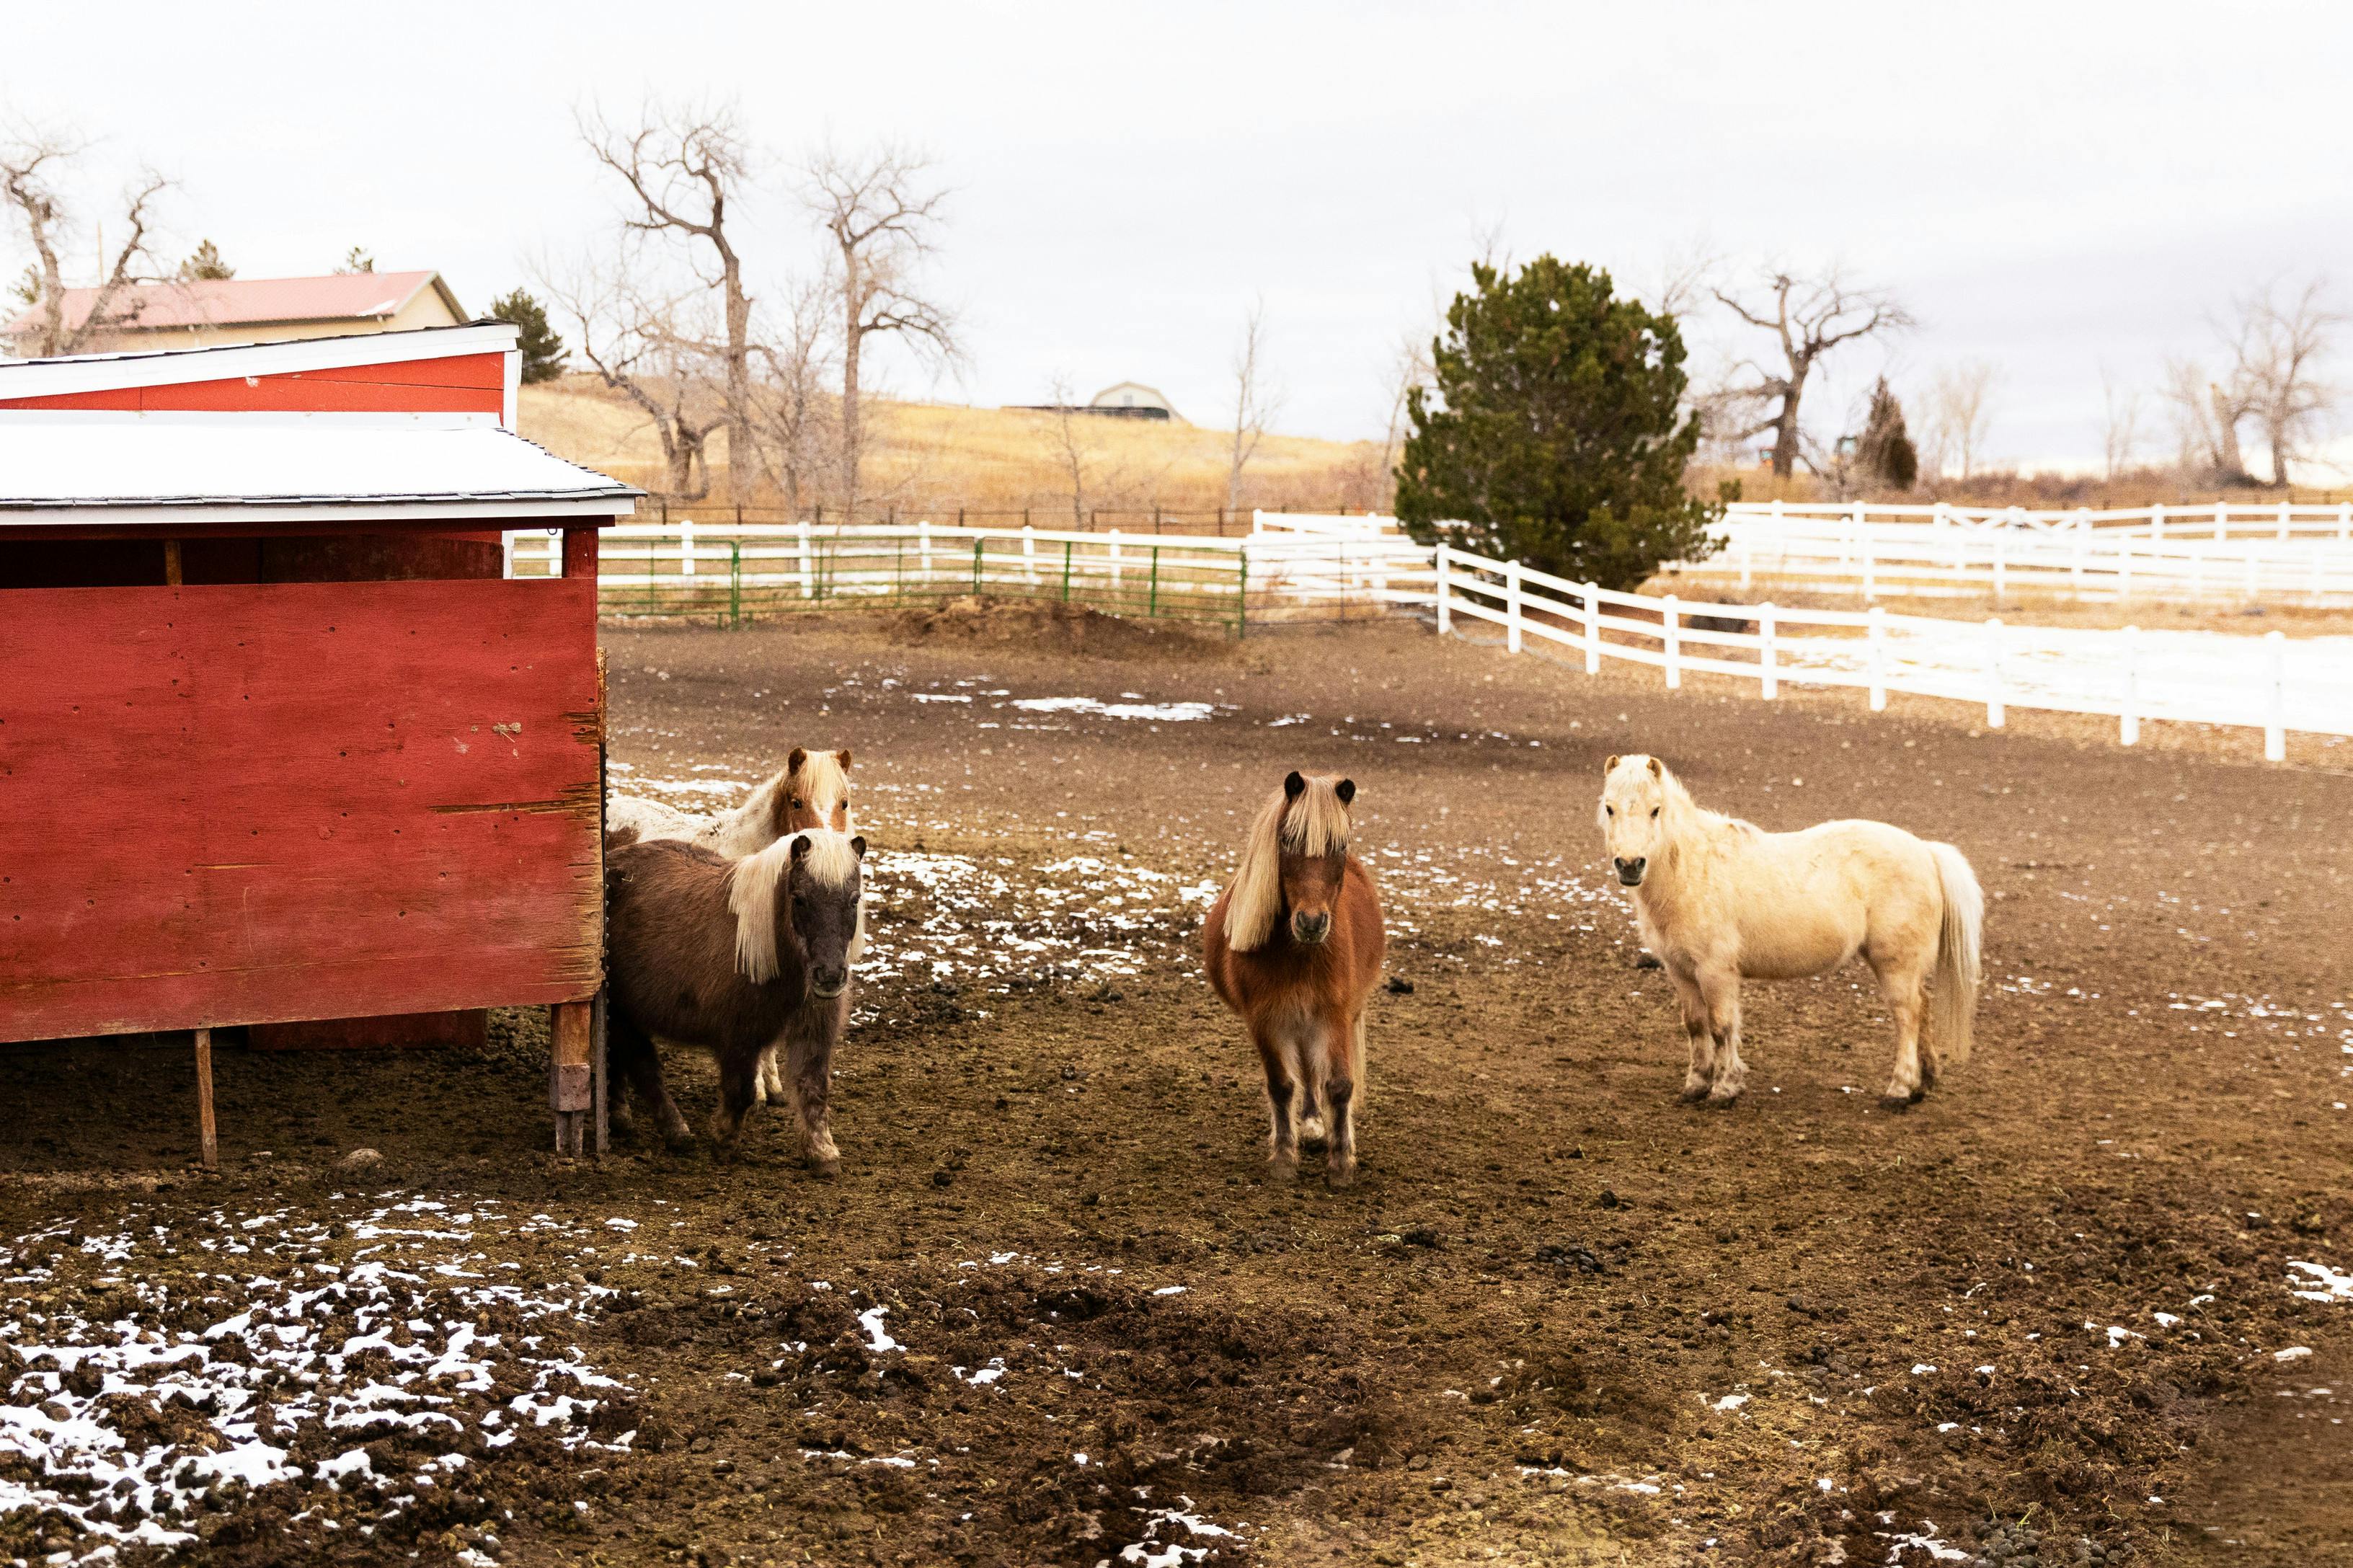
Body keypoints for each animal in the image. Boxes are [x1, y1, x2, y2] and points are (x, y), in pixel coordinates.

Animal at [603, 825, 868, 1172]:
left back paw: (622, 1116)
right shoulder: (738, 1037)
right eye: (799, 899)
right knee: (643, 1066)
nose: (830, 976)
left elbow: (813, 1087)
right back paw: (675, 1132)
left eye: (854, 899)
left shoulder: (813, 1033)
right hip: (621, 1011)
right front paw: (724, 1143)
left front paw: (822, 1153)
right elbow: (741, 1091)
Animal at [1202, 771, 1386, 1188]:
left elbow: (1340, 1085)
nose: (1312, 923)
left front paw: (1341, 1164)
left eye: (1340, 845)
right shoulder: (1265, 1020)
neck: (1301, 955)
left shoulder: (1334, 1016)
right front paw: (1284, 1158)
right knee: (1303, 1069)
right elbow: (1282, 1086)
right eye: (1287, 840)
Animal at [1596, 754, 1983, 1110]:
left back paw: (1899, 1090)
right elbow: (1695, 1026)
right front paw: (1696, 1086)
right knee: (1924, 1009)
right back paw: (1923, 1084)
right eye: (1610, 808)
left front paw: (1724, 1090)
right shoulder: (1680, 971)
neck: (1692, 871)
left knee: (1908, 1016)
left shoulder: (1715, 971)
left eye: (1655, 810)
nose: (1630, 865)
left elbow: (1722, 1027)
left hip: (1895, 964)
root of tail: (1925, 851)